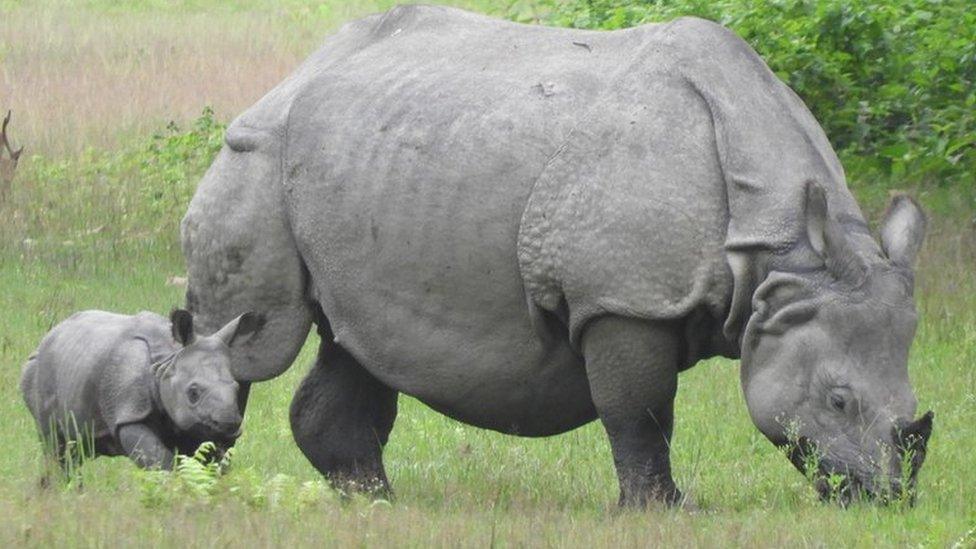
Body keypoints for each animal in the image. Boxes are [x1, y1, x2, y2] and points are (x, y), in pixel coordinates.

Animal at [20, 308, 264, 476]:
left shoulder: (194, 425)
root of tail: (47, 337)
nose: (228, 424)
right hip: (36, 371)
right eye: (193, 393)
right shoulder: (129, 412)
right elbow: (160, 461)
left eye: (237, 389)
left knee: (75, 449)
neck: (167, 362)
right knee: (56, 446)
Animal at [181, 5, 932, 506]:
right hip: (255, 152)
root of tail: (301, 68)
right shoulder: (622, 298)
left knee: (356, 340)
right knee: (252, 339)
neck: (781, 257)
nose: (884, 498)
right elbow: (642, 410)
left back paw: (372, 500)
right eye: (837, 400)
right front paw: (662, 512)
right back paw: (203, 484)